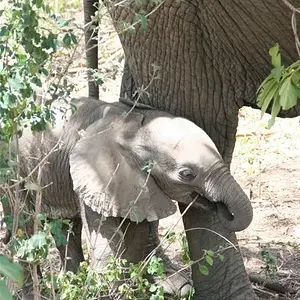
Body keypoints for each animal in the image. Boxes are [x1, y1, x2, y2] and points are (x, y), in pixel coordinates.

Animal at [5, 97, 253, 298]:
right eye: (187, 174)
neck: (131, 126)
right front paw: (109, 293)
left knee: (67, 227)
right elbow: (105, 235)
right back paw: (31, 292)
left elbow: (137, 231)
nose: (222, 208)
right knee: (23, 222)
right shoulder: (98, 173)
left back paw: (71, 283)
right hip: (12, 168)